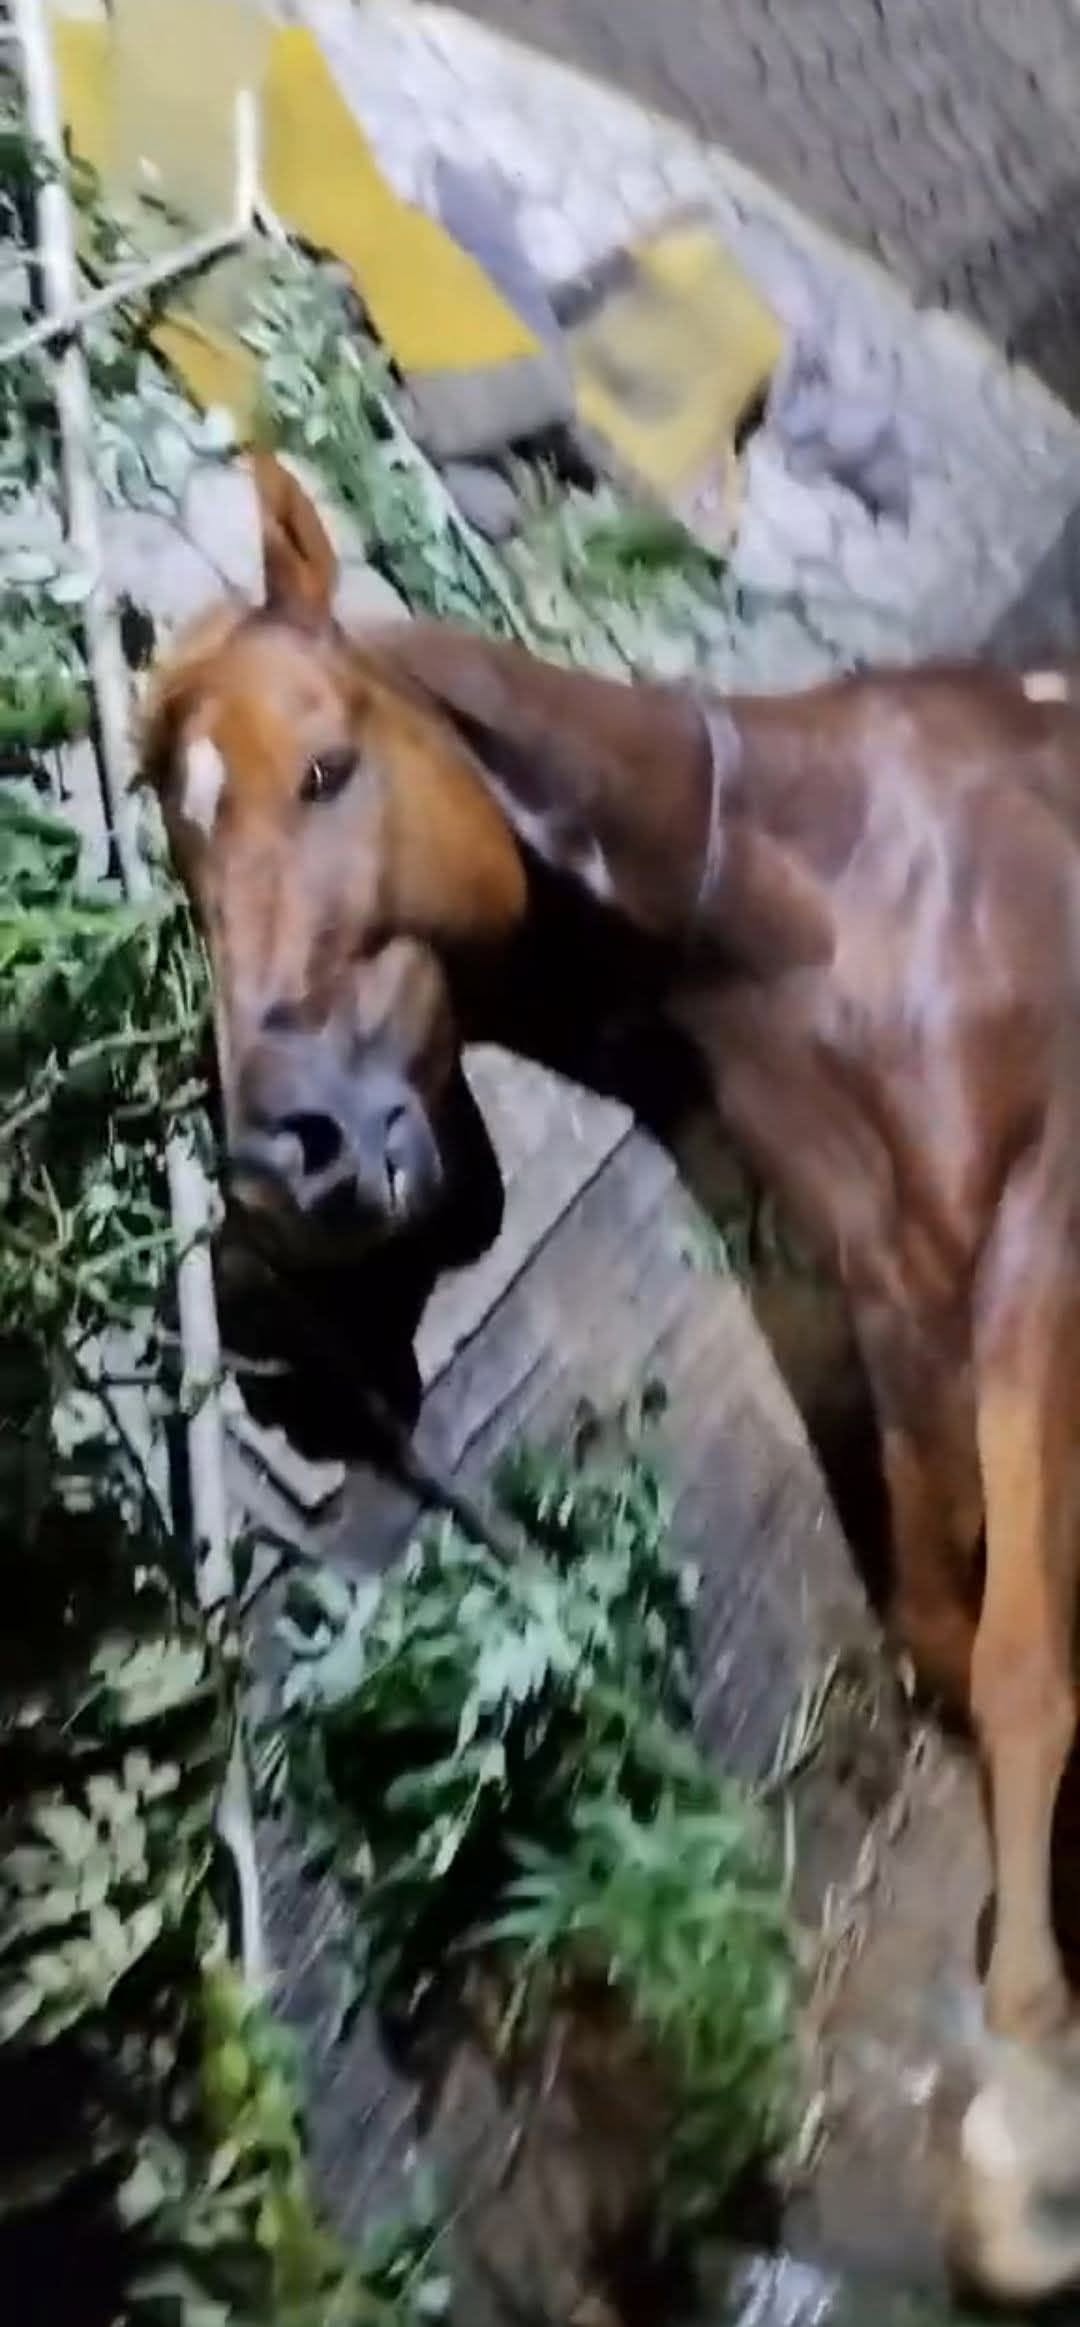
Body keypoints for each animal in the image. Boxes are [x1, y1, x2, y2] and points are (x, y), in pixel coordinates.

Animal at [144, 451, 1080, 2305]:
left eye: (328, 763)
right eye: (183, 845)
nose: (290, 1156)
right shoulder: (871, 1279)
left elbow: (1022, 1663)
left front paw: (1025, 2126)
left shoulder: (1032, 1227)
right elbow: (942, 1624)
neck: (828, 886)